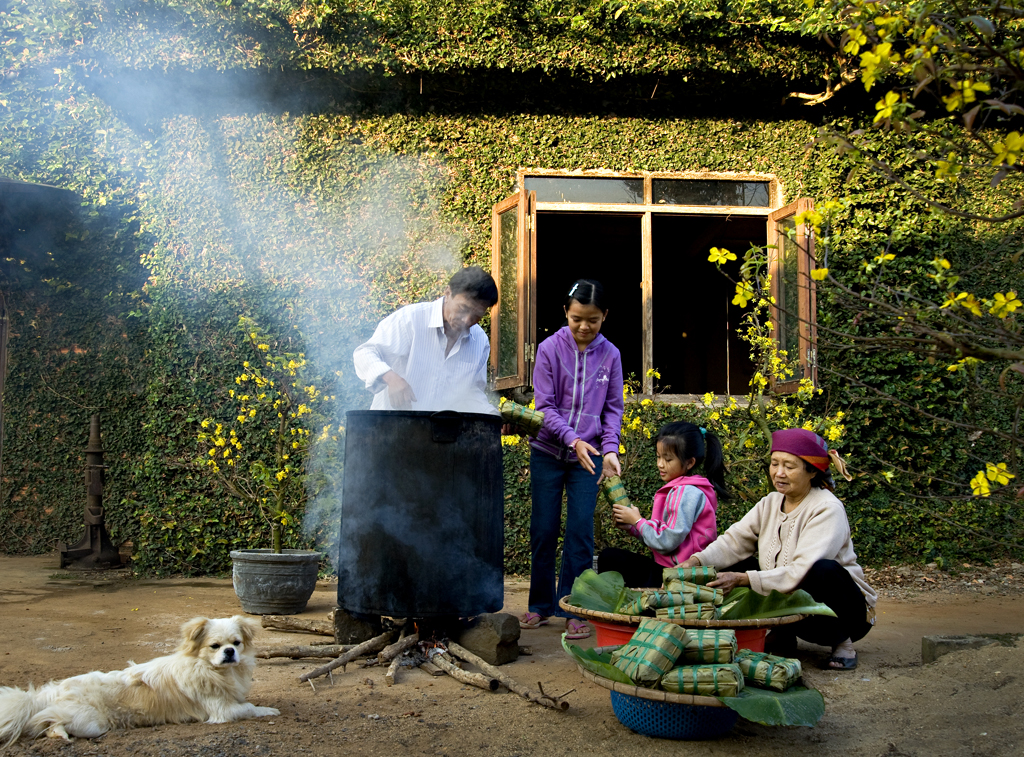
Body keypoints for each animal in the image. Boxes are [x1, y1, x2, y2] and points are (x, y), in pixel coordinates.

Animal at [0, 614, 280, 741]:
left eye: (236, 643)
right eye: (215, 646)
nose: (229, 652)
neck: (214, 670)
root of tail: (51, 693)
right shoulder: (223, 710)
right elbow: (249, 707)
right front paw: (269, 711)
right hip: (91, 724)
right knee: (46, 721)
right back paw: (60, 734)